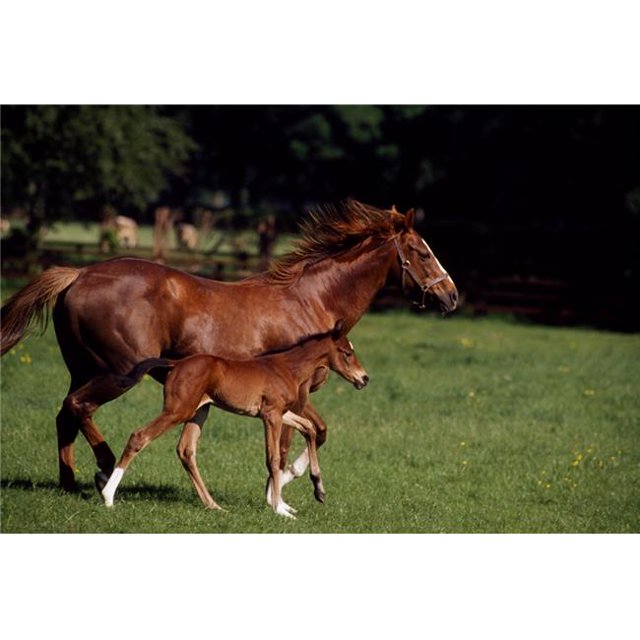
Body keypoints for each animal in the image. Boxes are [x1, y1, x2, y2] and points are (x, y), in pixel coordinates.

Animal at [0, 200, 458, 498]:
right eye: (421, 252)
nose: (451, 296)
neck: (310, 301)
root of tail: (79, 273)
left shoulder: (294, 399)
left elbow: (315, 432)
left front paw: (290, 485)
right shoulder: (294, 396)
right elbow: (298, 440)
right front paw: (284, 487)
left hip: (84, 369)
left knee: (65, 415)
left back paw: (69, 484)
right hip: (117, 373)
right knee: (79, 408)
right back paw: (103, 472)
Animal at [100, 321, 368, 518]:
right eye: (347, 353)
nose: (364, 378)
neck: (286, 368)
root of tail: (177, 363)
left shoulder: (281, 413)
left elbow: (309, 429)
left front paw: (318, 491)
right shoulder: (271, 415)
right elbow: (273, 458)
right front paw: (280, 509)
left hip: (199, 412)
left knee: (186, 450)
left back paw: (213, 505)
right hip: (178, 411)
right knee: (140, 436)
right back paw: (108, 497)